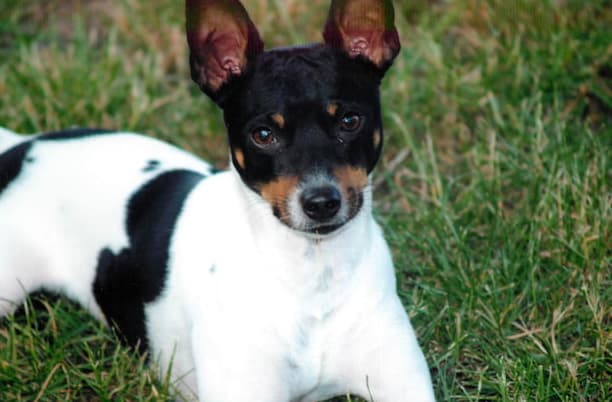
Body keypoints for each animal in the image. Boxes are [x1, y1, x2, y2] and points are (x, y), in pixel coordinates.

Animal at [2, 0, 438, 402]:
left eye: (350, 121)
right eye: (263, 135)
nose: (320, 202)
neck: (312, 276)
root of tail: (20, 149)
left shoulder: (405, 384)